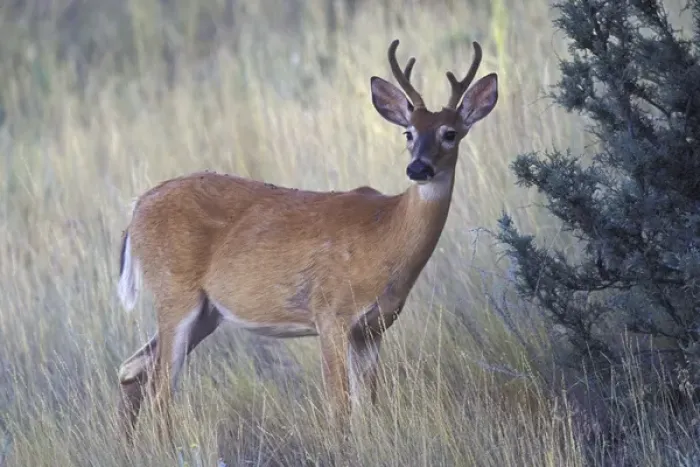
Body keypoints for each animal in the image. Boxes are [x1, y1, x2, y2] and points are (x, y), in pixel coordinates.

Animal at [116, 38, 498, 442]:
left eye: (450, 133)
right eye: (407, 132)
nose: (418, 168)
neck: (385, 235)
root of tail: (137, 208)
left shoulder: (373, 329)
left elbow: (370, 406)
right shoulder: (330, 314)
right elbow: (340, 409)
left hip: (207, 313)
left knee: (133, 370)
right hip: (175, 295)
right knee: (160, 388)